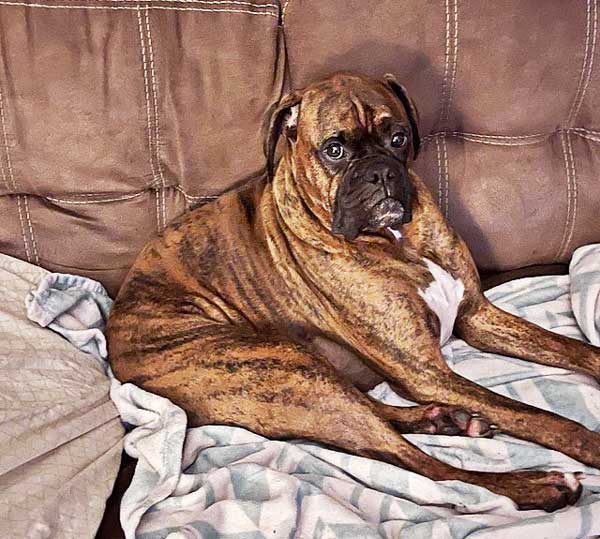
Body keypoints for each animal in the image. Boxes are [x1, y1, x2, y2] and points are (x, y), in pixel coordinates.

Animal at [108, 71, 600, 510]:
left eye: (398, 138)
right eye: (335, 150)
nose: (380, 172)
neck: (395, 240)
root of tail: (117, 350)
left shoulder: (476, 316)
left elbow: (572, 349)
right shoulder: (426, 372)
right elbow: (529, 414)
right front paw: (588, 444)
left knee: (382, 419)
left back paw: (445, 418)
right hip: (289, 369)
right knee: (428, 467)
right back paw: (537, 484)